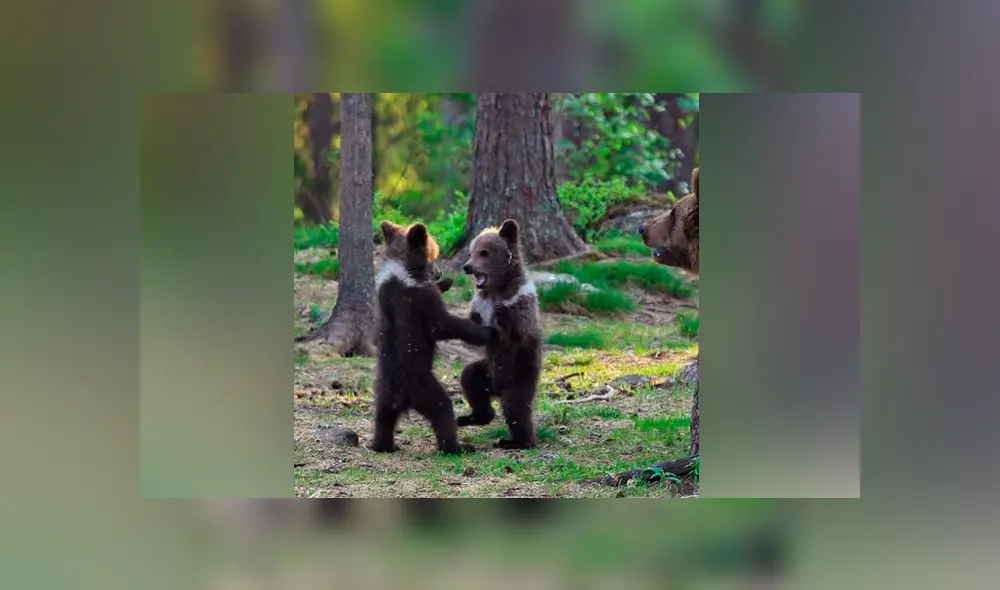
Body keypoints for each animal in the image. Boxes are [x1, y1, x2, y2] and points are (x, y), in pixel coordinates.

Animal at [369, 220, 496, 455]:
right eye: (435, 254)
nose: (439, 272)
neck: (404, 270)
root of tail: (399, 396)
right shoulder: (419, 299)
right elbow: (442, 325)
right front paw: (485, 331)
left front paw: (447, 281)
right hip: (423, 385)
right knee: (442, 408)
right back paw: (458, 446)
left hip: (383, 391)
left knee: (383, 417)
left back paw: (383, 445)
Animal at [457, 219, 543, 449]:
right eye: (471, 252)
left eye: (484, 253)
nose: (467, 266)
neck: (496, 290)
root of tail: (496, 390)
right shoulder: (479, 304)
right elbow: (474, 334)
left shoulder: (523, 299)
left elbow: (519, 329)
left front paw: (503, 314)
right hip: (487, 370)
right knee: (470, 378)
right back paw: (472, 417)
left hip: (520, 372)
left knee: (515, 406)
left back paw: (515, 441)